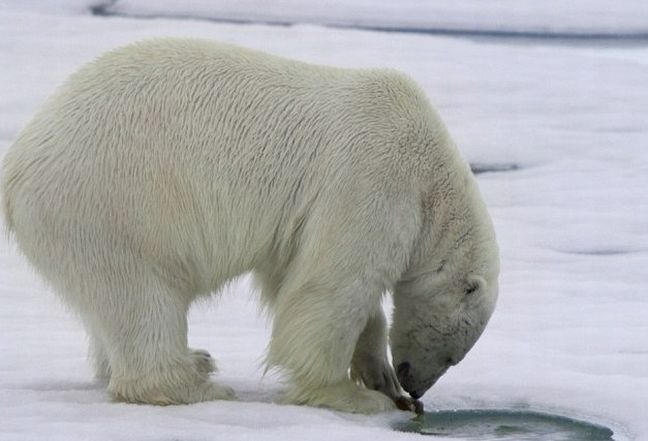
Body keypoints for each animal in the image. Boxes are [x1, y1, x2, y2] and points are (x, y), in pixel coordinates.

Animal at [0, 37, 498, 412]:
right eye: (455, 354)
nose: (417, 386)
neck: (432, 178)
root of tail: (17, 163)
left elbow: (294, 274)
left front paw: (379, 377)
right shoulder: (372, 179)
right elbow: (333, 287)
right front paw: (352, 396)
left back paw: (194, 360)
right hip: (114, 205)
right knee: (141, 296)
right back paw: (195, 382)